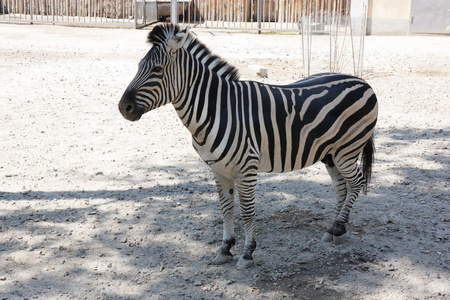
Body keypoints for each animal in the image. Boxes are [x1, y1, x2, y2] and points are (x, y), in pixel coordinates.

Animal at [118, 22, 376, 268]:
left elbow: (248, 210)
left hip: (347, 150)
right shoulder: (218, 169)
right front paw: (225, 249)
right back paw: (334, 229)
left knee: (356, 183)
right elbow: (226, 208)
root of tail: (363, 82)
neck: (217, 109)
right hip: (331, 153)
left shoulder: (247, 169)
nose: (123, 108)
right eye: (139, 66)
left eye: (157, 69)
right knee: (342, 187)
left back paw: (339, 227)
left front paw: (247, 253)